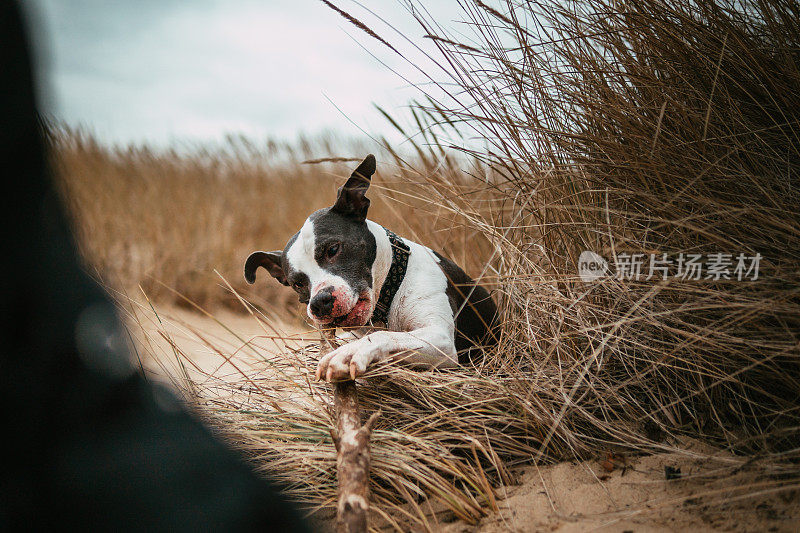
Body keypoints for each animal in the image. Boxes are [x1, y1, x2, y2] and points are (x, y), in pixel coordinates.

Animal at [244, 155, 496, 382]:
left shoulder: (440, 337)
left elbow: (387, 336)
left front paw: (349, 353)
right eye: (297, 283)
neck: (392, 285)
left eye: (333, 249)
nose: (319, 303)